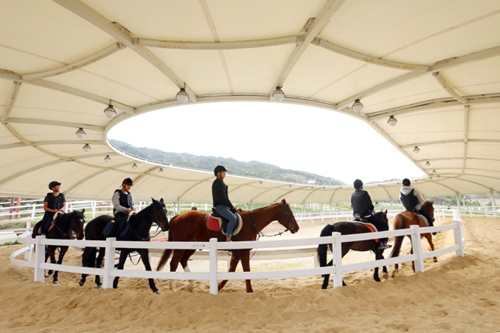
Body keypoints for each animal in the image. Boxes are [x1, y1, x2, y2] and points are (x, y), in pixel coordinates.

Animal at [156, 198, 298, 292]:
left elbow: (232, 269)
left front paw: (218, 287)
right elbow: (246, 270)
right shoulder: (243, 251)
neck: (251, 222)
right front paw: (250, 291)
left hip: (191, 246)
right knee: (174, 262)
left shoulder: (237, 252)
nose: (296, 228)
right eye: (289, 213)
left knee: (183, 260)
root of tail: (177, 216)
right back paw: (173, 288)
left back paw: (191, 285)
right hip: (180, 246)